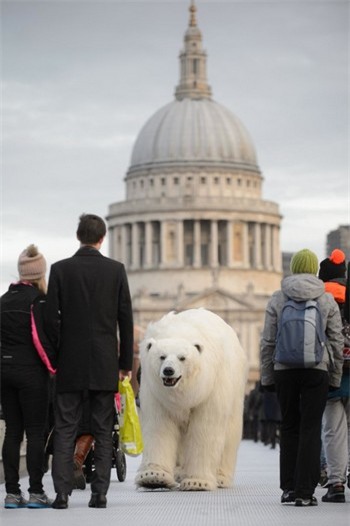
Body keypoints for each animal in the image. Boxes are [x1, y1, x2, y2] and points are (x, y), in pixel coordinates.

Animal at [135, 310, 247, 490]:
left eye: (182, 358)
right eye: (162, 357)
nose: (168, 371)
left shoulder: (211, 387)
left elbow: (205, 428)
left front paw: (197, 482)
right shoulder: (156, 392)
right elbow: (159, 426)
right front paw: (152, 476)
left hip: (235, 391)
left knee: (230, 433)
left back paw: (221, 478)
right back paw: (179, 472)